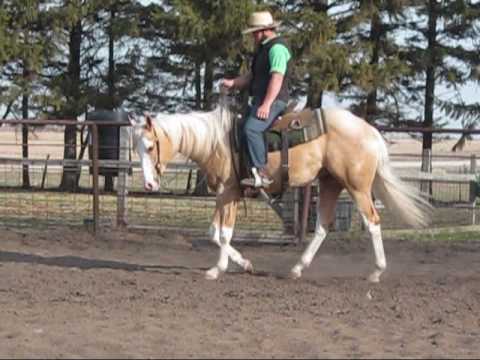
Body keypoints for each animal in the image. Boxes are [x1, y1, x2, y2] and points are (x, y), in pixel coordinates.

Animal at [131, 102, 432, 282]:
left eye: (150, 146)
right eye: (136, 147)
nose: (149, 185)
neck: (217, 142)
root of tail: (370, 131)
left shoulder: (228, 193)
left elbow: (224, 234)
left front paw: (218, 269)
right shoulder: (224, 196)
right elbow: (214, 233)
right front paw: (245, 264)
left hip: (357, 187)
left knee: (372, 223)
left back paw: (376, 272)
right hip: (330, 183)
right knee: (323, 226)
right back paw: (297, 268)